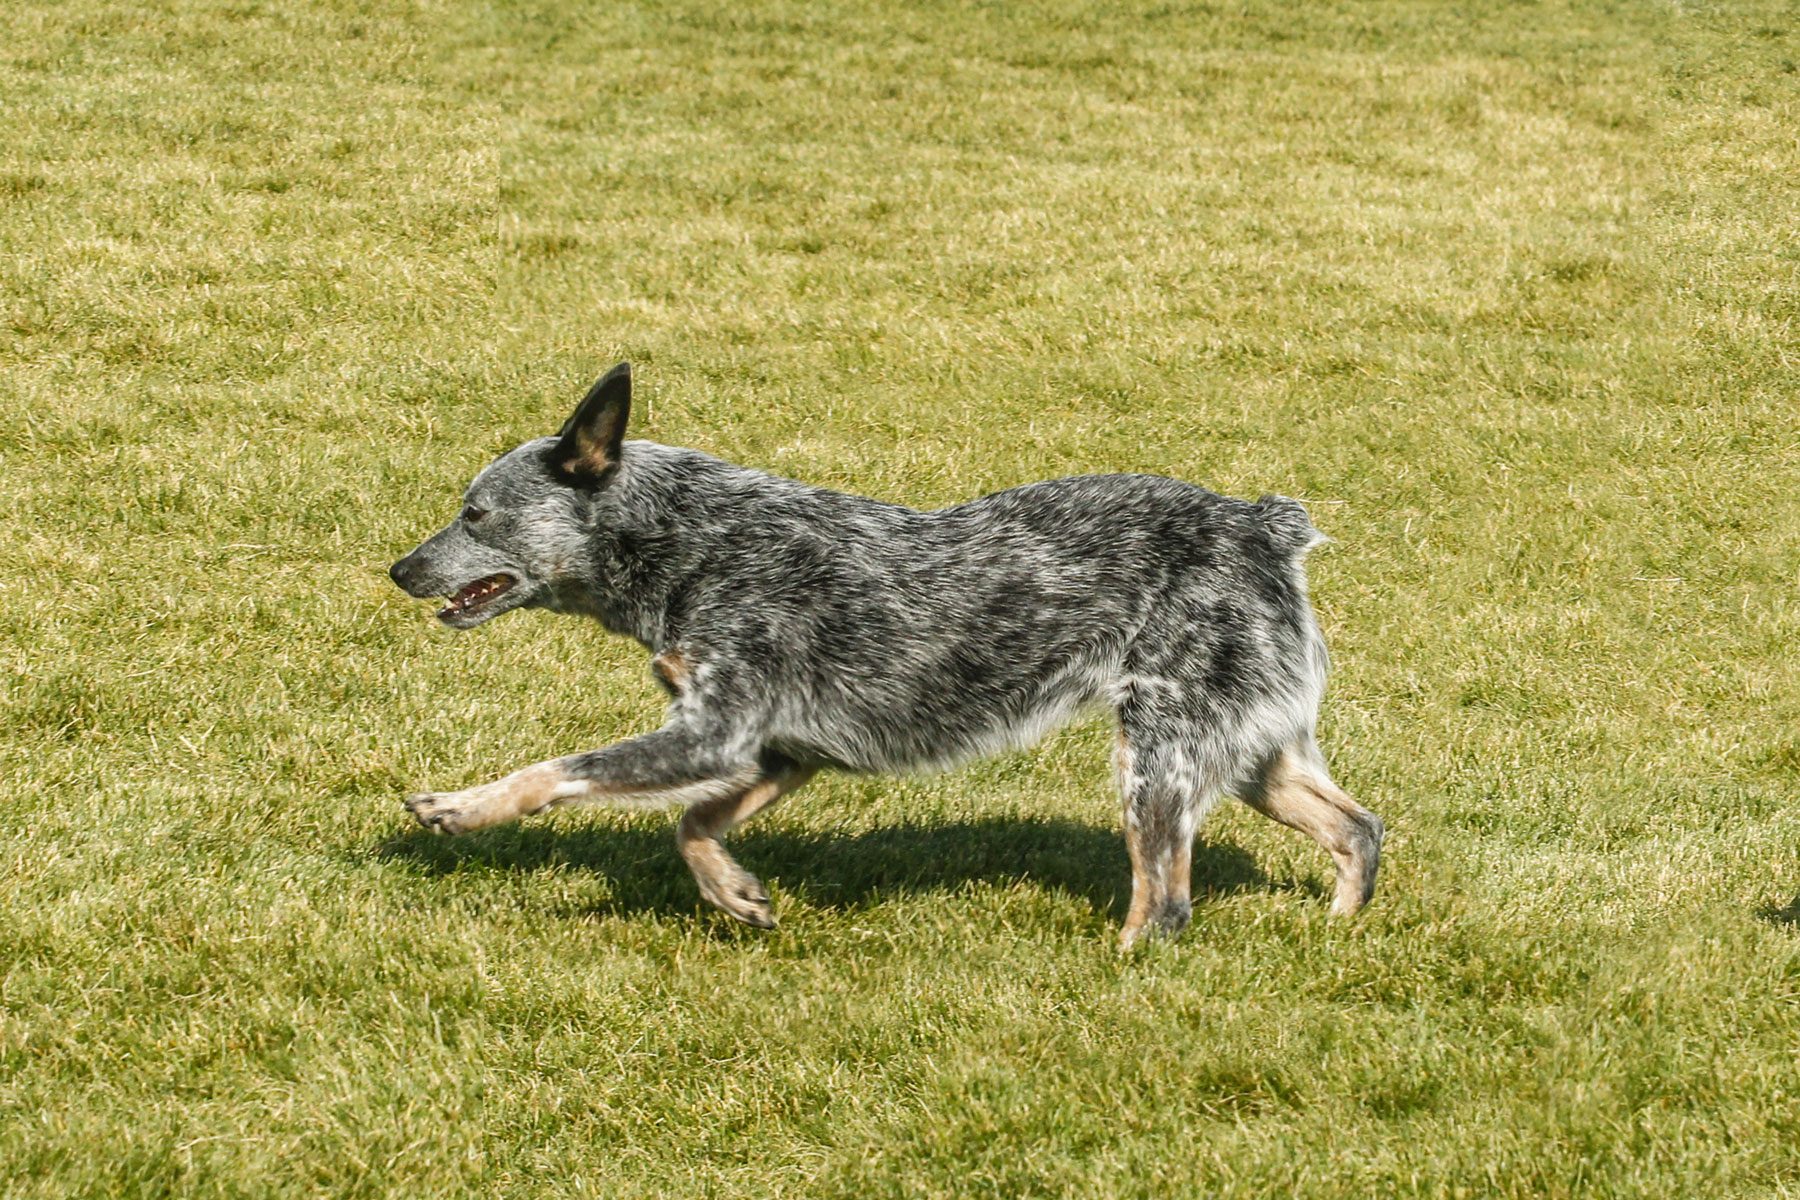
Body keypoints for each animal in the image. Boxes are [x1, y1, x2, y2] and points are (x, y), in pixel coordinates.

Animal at [387, 367, 1382, 949]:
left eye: (475, 512)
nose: (398, 568)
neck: (691, 540)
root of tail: (1262, 524)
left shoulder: (716, 734)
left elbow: (556, 771)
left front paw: (461, 806)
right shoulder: (777, 752)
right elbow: (693, 826)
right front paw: (735, 894)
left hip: (1161, 756)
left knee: (1167, 904)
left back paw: (1119, 966)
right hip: (1250, 750)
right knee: (1357, 827)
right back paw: (1337, 935)